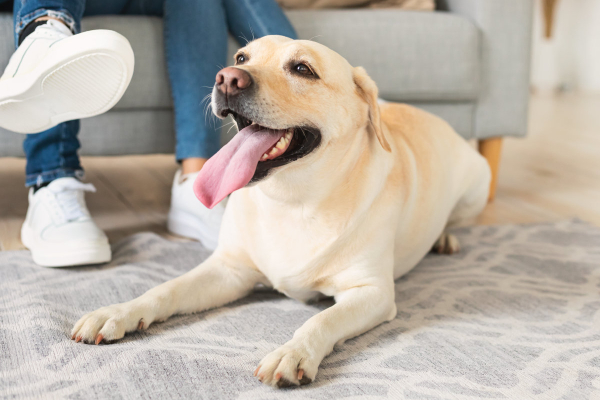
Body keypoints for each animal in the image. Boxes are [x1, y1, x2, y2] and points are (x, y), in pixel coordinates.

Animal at [71, 35, 492, 388]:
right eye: (241, 58)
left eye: (302, 68)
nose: (228, 78)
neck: (292, 202)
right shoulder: (229, 270)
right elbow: (165, 289)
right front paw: (119, 312)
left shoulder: (371, 292)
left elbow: (321, 318)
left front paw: (292, 354)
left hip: (477, 185)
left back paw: (445, 237)